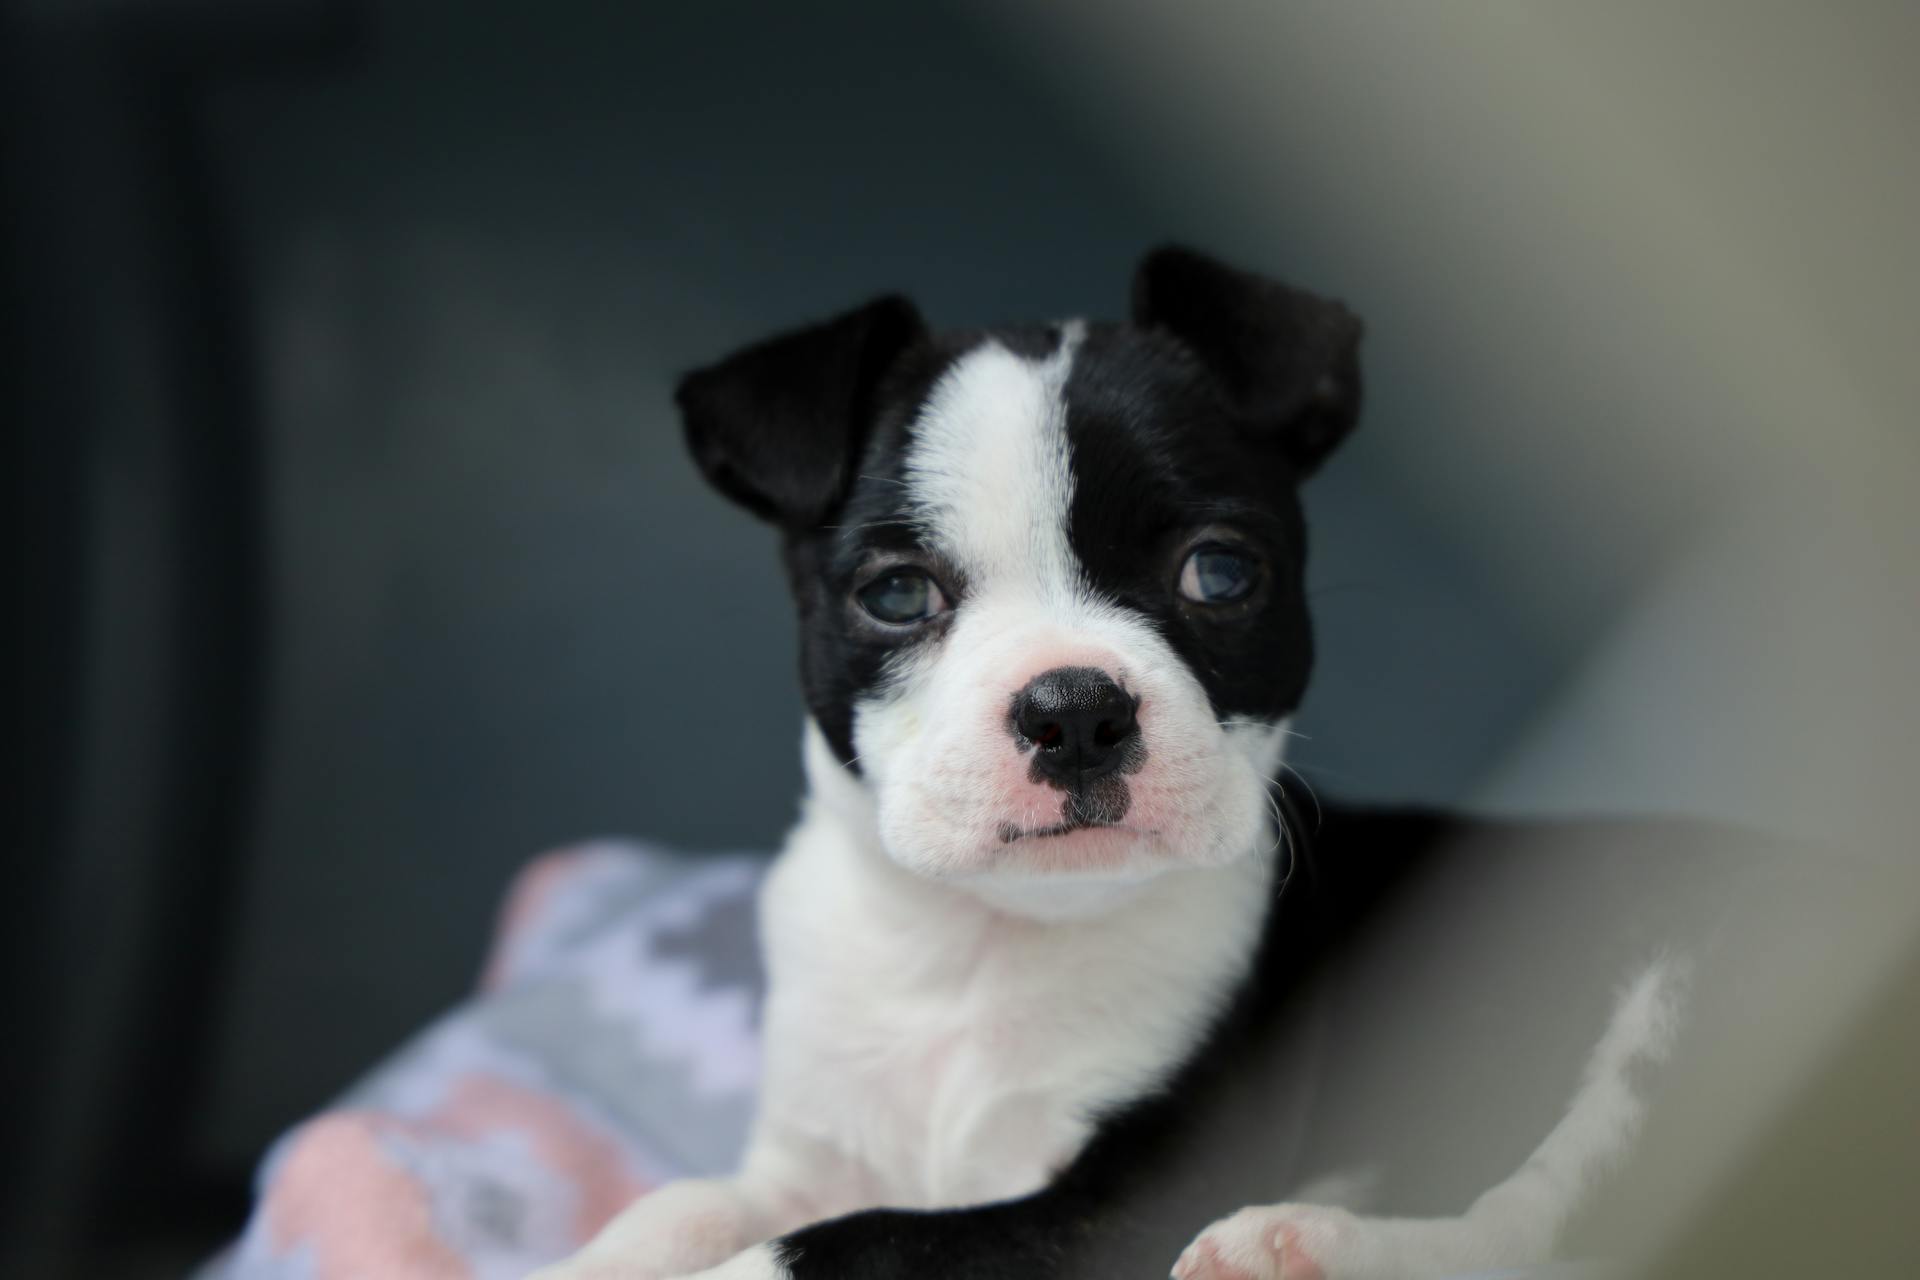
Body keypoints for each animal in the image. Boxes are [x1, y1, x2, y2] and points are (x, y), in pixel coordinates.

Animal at [529, 245, 1827, 1274]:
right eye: (896, 594)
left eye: (1220, 571)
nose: (1075, 708)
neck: (983, 949)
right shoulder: (812, 1152)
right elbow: (685, 1206)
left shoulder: (1118, 1205)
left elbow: (844, 1243)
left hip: (1694, 986)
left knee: (1539, 1224)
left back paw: (1302, 1247)